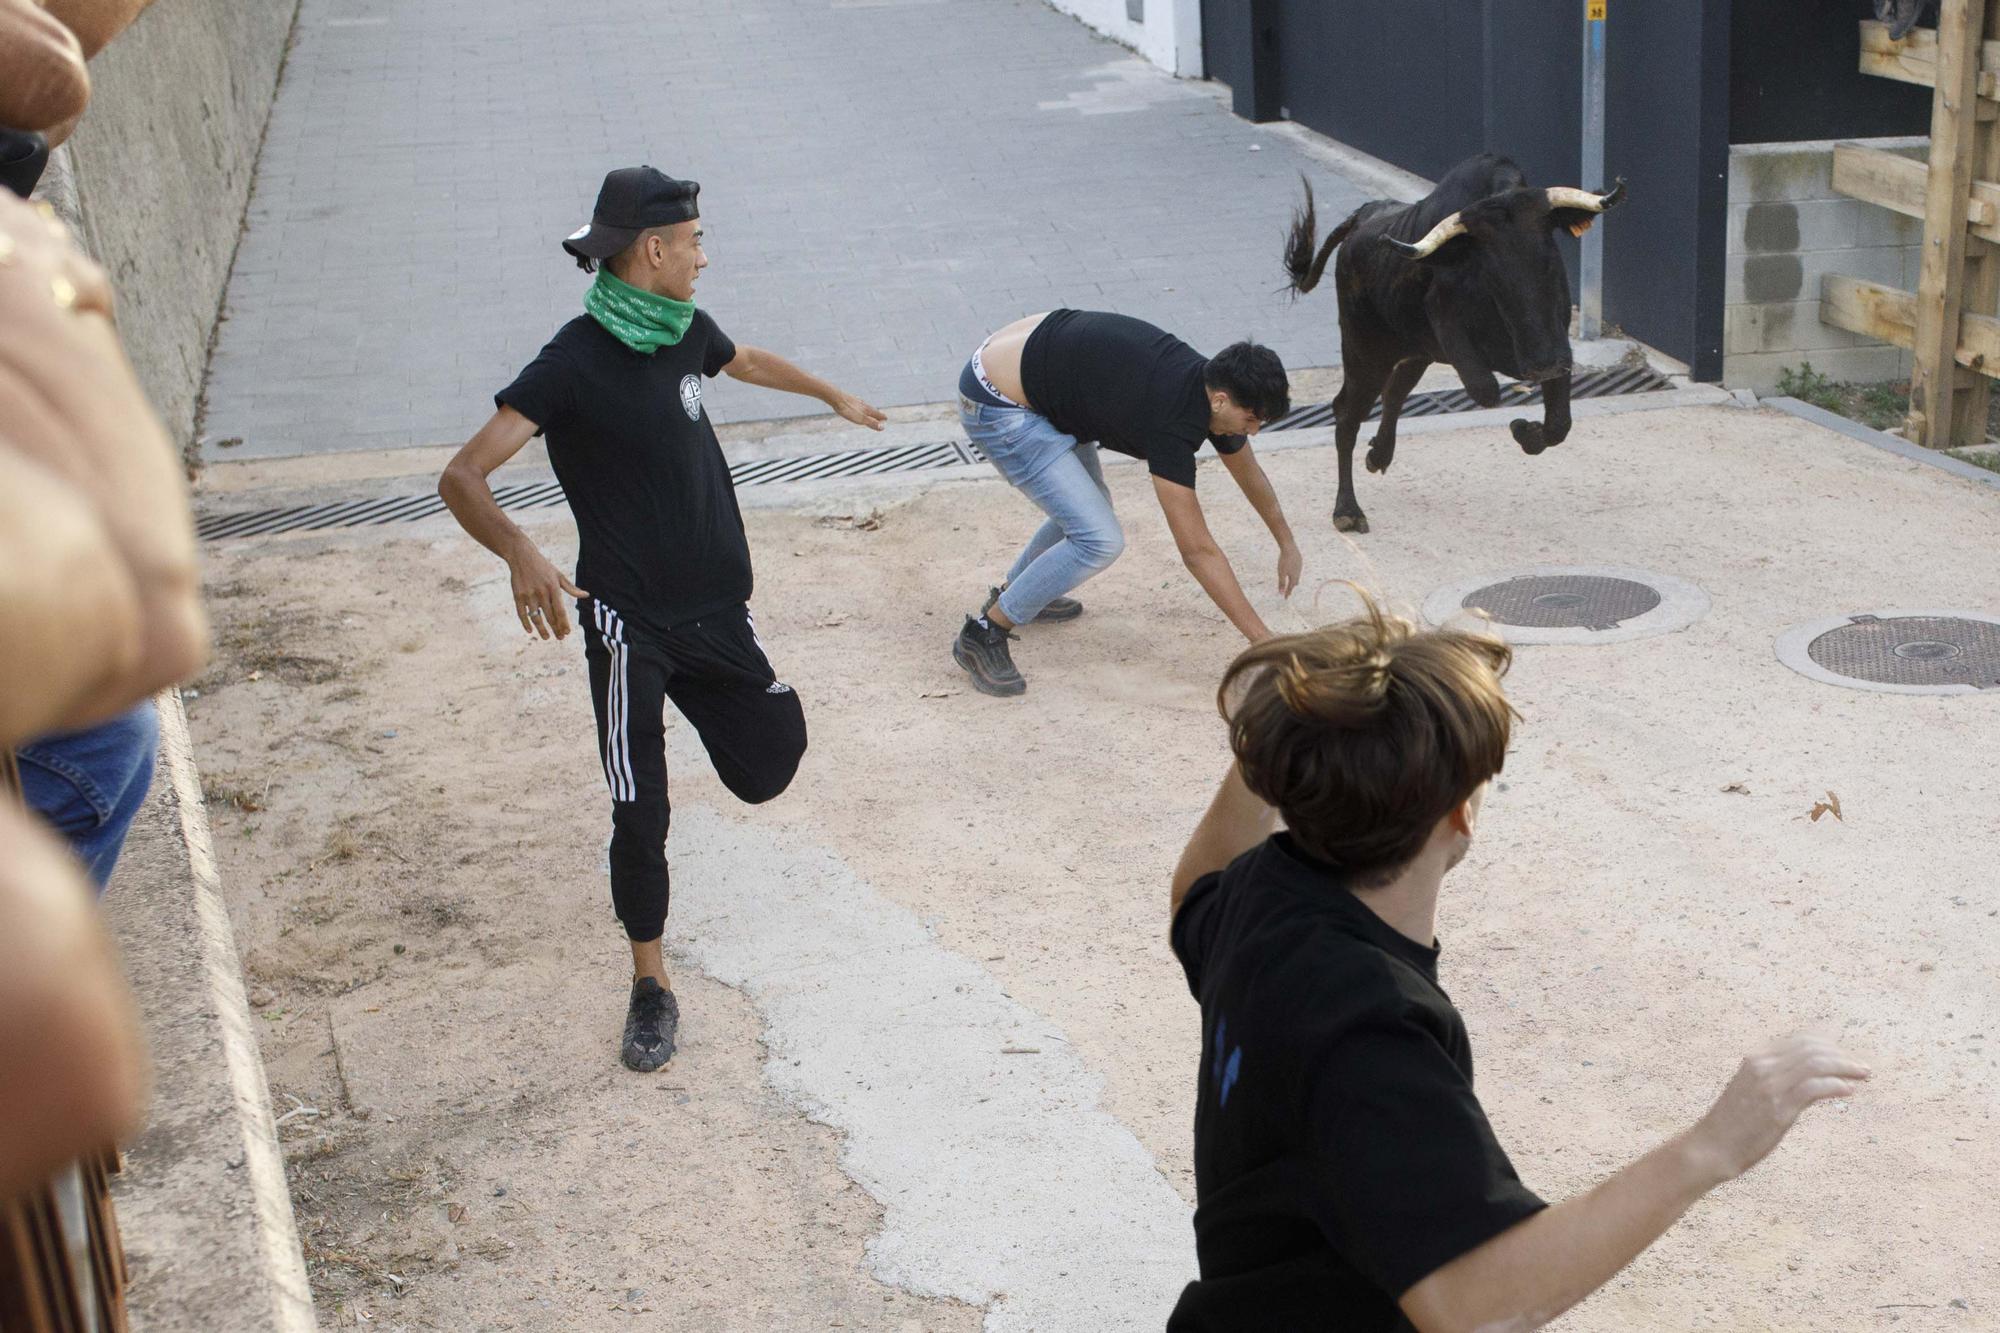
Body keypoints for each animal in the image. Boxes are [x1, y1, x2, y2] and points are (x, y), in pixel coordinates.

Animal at [1280, 153, 1624, 532]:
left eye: (1549, 257)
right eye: (1493, 270)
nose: (1543, 363)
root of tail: (1365, 213)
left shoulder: (1556, 341)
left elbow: (1559, 423)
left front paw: (1526, 431)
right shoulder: (1447, 324)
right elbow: (1486, 389)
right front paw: (1521, 425)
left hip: (1415, 350)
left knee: (1395, 391)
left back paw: (1378, 454)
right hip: (1364, 351)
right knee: (1347, 412)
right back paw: (1347, 509)